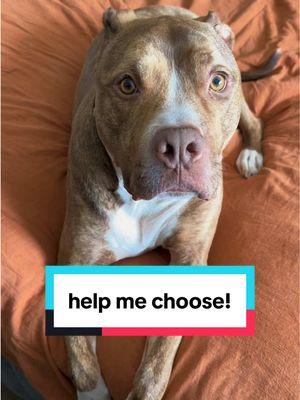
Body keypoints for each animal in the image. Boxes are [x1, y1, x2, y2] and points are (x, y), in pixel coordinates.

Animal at [58, 5, 278, 400]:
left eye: (217, 81)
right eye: (127, 84)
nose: (178, 145)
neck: (140, 202)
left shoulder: (190, 258)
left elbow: (156, 365)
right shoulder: (74, 258)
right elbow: (81, 357)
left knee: (254, 121)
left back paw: (251, 154)